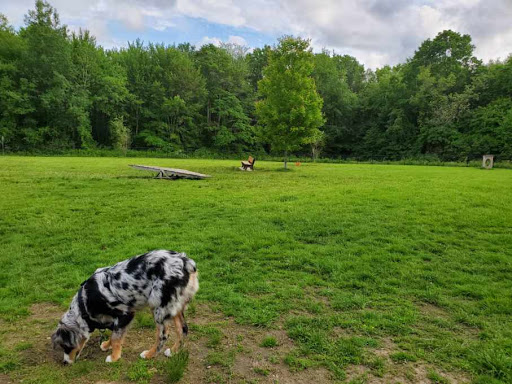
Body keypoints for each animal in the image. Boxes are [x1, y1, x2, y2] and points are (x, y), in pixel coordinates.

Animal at [50, 250, 198, 364]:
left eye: (66, 346)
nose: (65, 362)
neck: (85, 302)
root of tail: (185, 261)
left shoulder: (126, 313)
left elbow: (116, 337)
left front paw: (114, 357)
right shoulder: (115, 319)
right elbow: (115, 333)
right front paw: (106, 345)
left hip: (158, 307)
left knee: (163, 335)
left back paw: (149, 354)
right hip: (174, 306)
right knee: (182, 329)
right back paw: (173, 351)